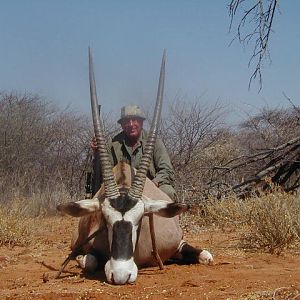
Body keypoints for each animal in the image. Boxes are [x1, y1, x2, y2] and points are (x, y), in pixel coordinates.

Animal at [57, 48, 212, 284]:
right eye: (106, 220)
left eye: (139, 220)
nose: (121, 275)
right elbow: (90, 260)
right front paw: (84, 261)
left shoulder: (179, 244)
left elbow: (207, 255)